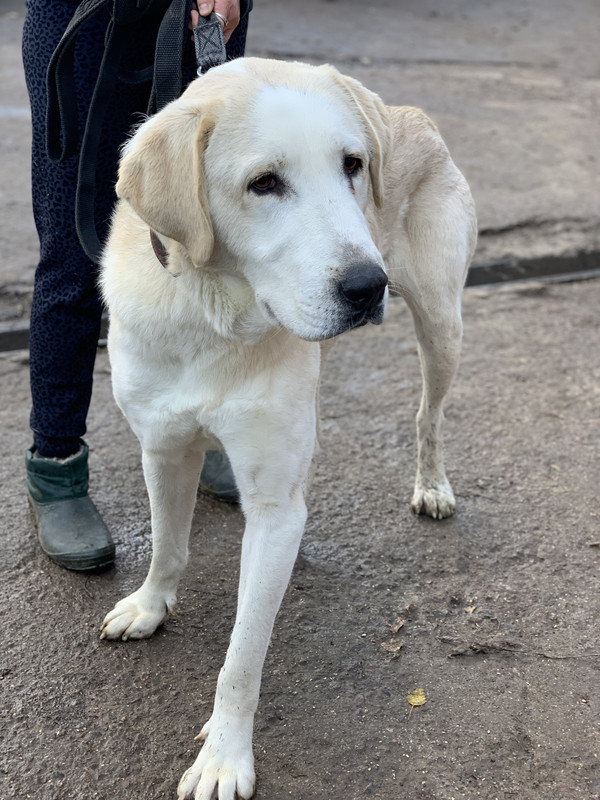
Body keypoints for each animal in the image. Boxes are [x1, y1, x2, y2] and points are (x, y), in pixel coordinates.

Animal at [99, 57, 476, 799]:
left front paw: (224, 757)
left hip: (441, 328)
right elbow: (166, 545)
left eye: (353, 165)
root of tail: (410, 112)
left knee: (428, 415)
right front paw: (151, 604)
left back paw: (433, 485)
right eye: (263, 183)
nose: (368, 286)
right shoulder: (162, 446)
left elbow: (242, 657)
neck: (212, 315)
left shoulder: (273, 508)